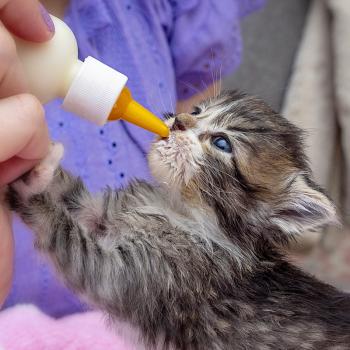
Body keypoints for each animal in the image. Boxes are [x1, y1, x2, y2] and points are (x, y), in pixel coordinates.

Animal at [6, 91, 350, 350]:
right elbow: (73, 195)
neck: (178, 209)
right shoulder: (104, 215)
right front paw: (38, 163)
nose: (179, 121)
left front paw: (33, 187)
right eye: (197, 111)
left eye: (222, 143)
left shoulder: (126, 275)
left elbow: (65, 235)